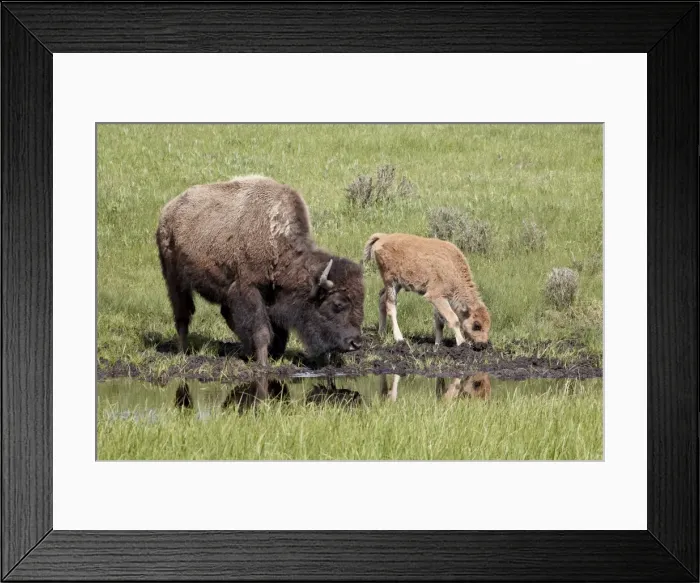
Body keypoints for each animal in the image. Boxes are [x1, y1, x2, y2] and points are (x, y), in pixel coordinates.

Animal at [156, 175, 365, 366]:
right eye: (337, 304)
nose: (355, 343)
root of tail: (167, 211)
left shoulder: (272, 296)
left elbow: (278, 331)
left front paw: (272, 355)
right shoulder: (249, 289)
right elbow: (262, 330)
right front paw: (264, 363)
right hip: (174, 279)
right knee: (182, 315)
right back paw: (183, 352)